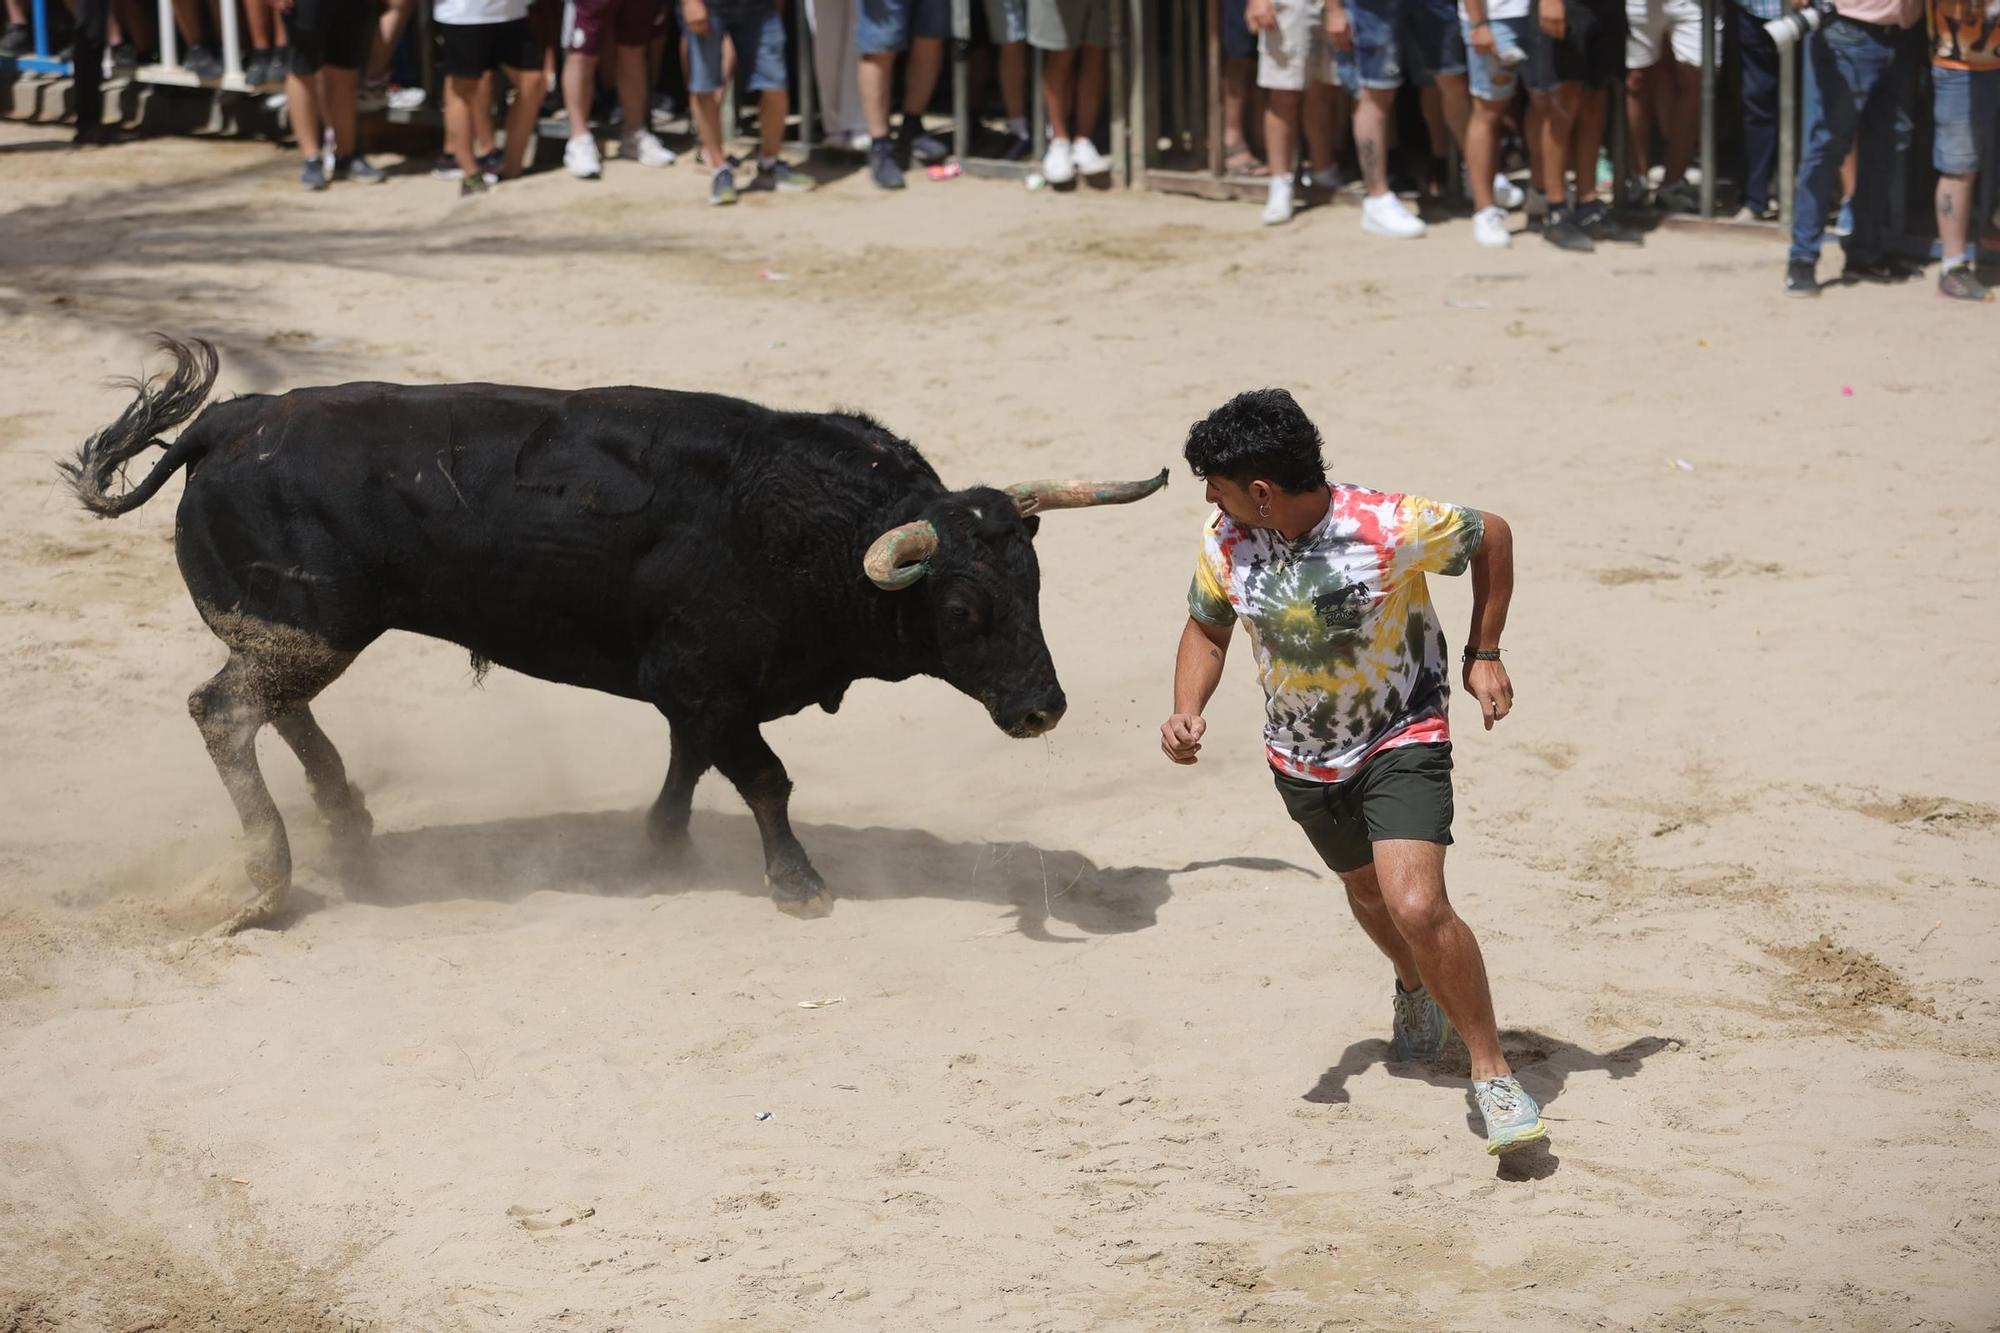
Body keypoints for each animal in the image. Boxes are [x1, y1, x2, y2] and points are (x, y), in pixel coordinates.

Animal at [70, 338, 1168, 928]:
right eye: (963, 611)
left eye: (1034, 584)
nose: (1041, 707)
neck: (804, 527)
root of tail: (232, 420)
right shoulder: (707, 678)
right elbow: (763, 777)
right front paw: (798, 882)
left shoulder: (698, 687)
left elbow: (689, 762)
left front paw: (661, 845)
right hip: (306, 625)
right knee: (225, 711)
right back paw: (268, 882)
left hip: (311, 629)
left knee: (278, 708)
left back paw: (349, 824)